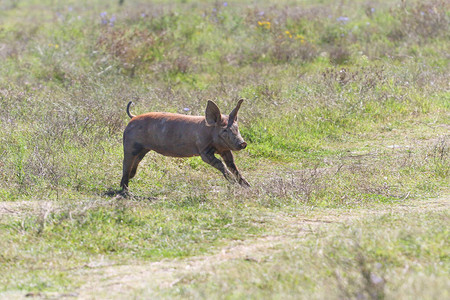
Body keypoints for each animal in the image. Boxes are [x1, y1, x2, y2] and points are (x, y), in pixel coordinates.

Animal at [120, 99, 250, 191]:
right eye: (224, 130)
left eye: (236, 128)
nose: (243, 143)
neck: (210, 132)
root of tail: (133, 117)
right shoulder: (203, 150)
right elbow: (220, 164)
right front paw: (234, 183)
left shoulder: (225, 149)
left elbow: (232, 165)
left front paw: (248, 186)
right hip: (130, 144)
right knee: (126, 163)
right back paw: (126, 192)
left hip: (143, 149)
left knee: (134, 163)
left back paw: (129, 179)